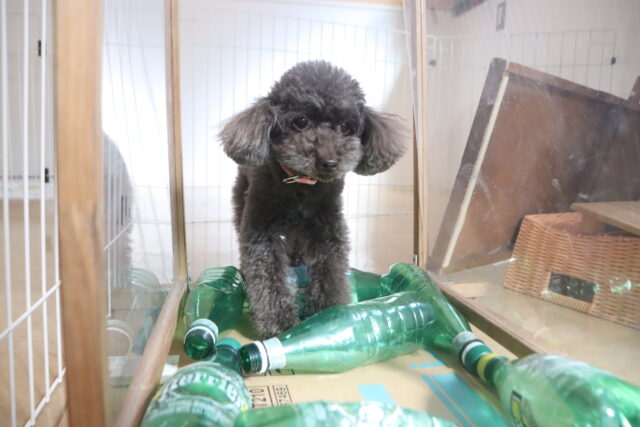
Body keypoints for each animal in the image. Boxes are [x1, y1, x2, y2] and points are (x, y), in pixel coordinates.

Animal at [220, 60, 406, 338]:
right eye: (301, 122)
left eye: (345, 126)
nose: (329, 162)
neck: (302, 188)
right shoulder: (263, 234)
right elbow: (268, 277)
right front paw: (278, 322)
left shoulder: (327, 231)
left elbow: (330, 273)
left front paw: (328, 316)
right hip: (241, 201)